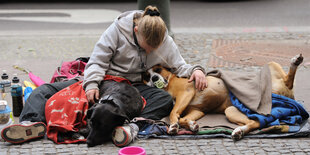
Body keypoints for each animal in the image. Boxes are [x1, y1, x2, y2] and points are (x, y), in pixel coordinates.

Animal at [144, 54, 304, 140]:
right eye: (146, 77)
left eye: (158, 69)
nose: (154, 78)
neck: (169, 82)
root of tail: (288, 94)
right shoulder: (197, 110)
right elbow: (182, 118)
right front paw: (191, 125)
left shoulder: (186, 92)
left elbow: (173, 113)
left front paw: (172, 125)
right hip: (231, 110)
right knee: (255, 123)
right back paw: (239, 131)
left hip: (271, 66)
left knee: (288, 80)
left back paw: (295, 62)